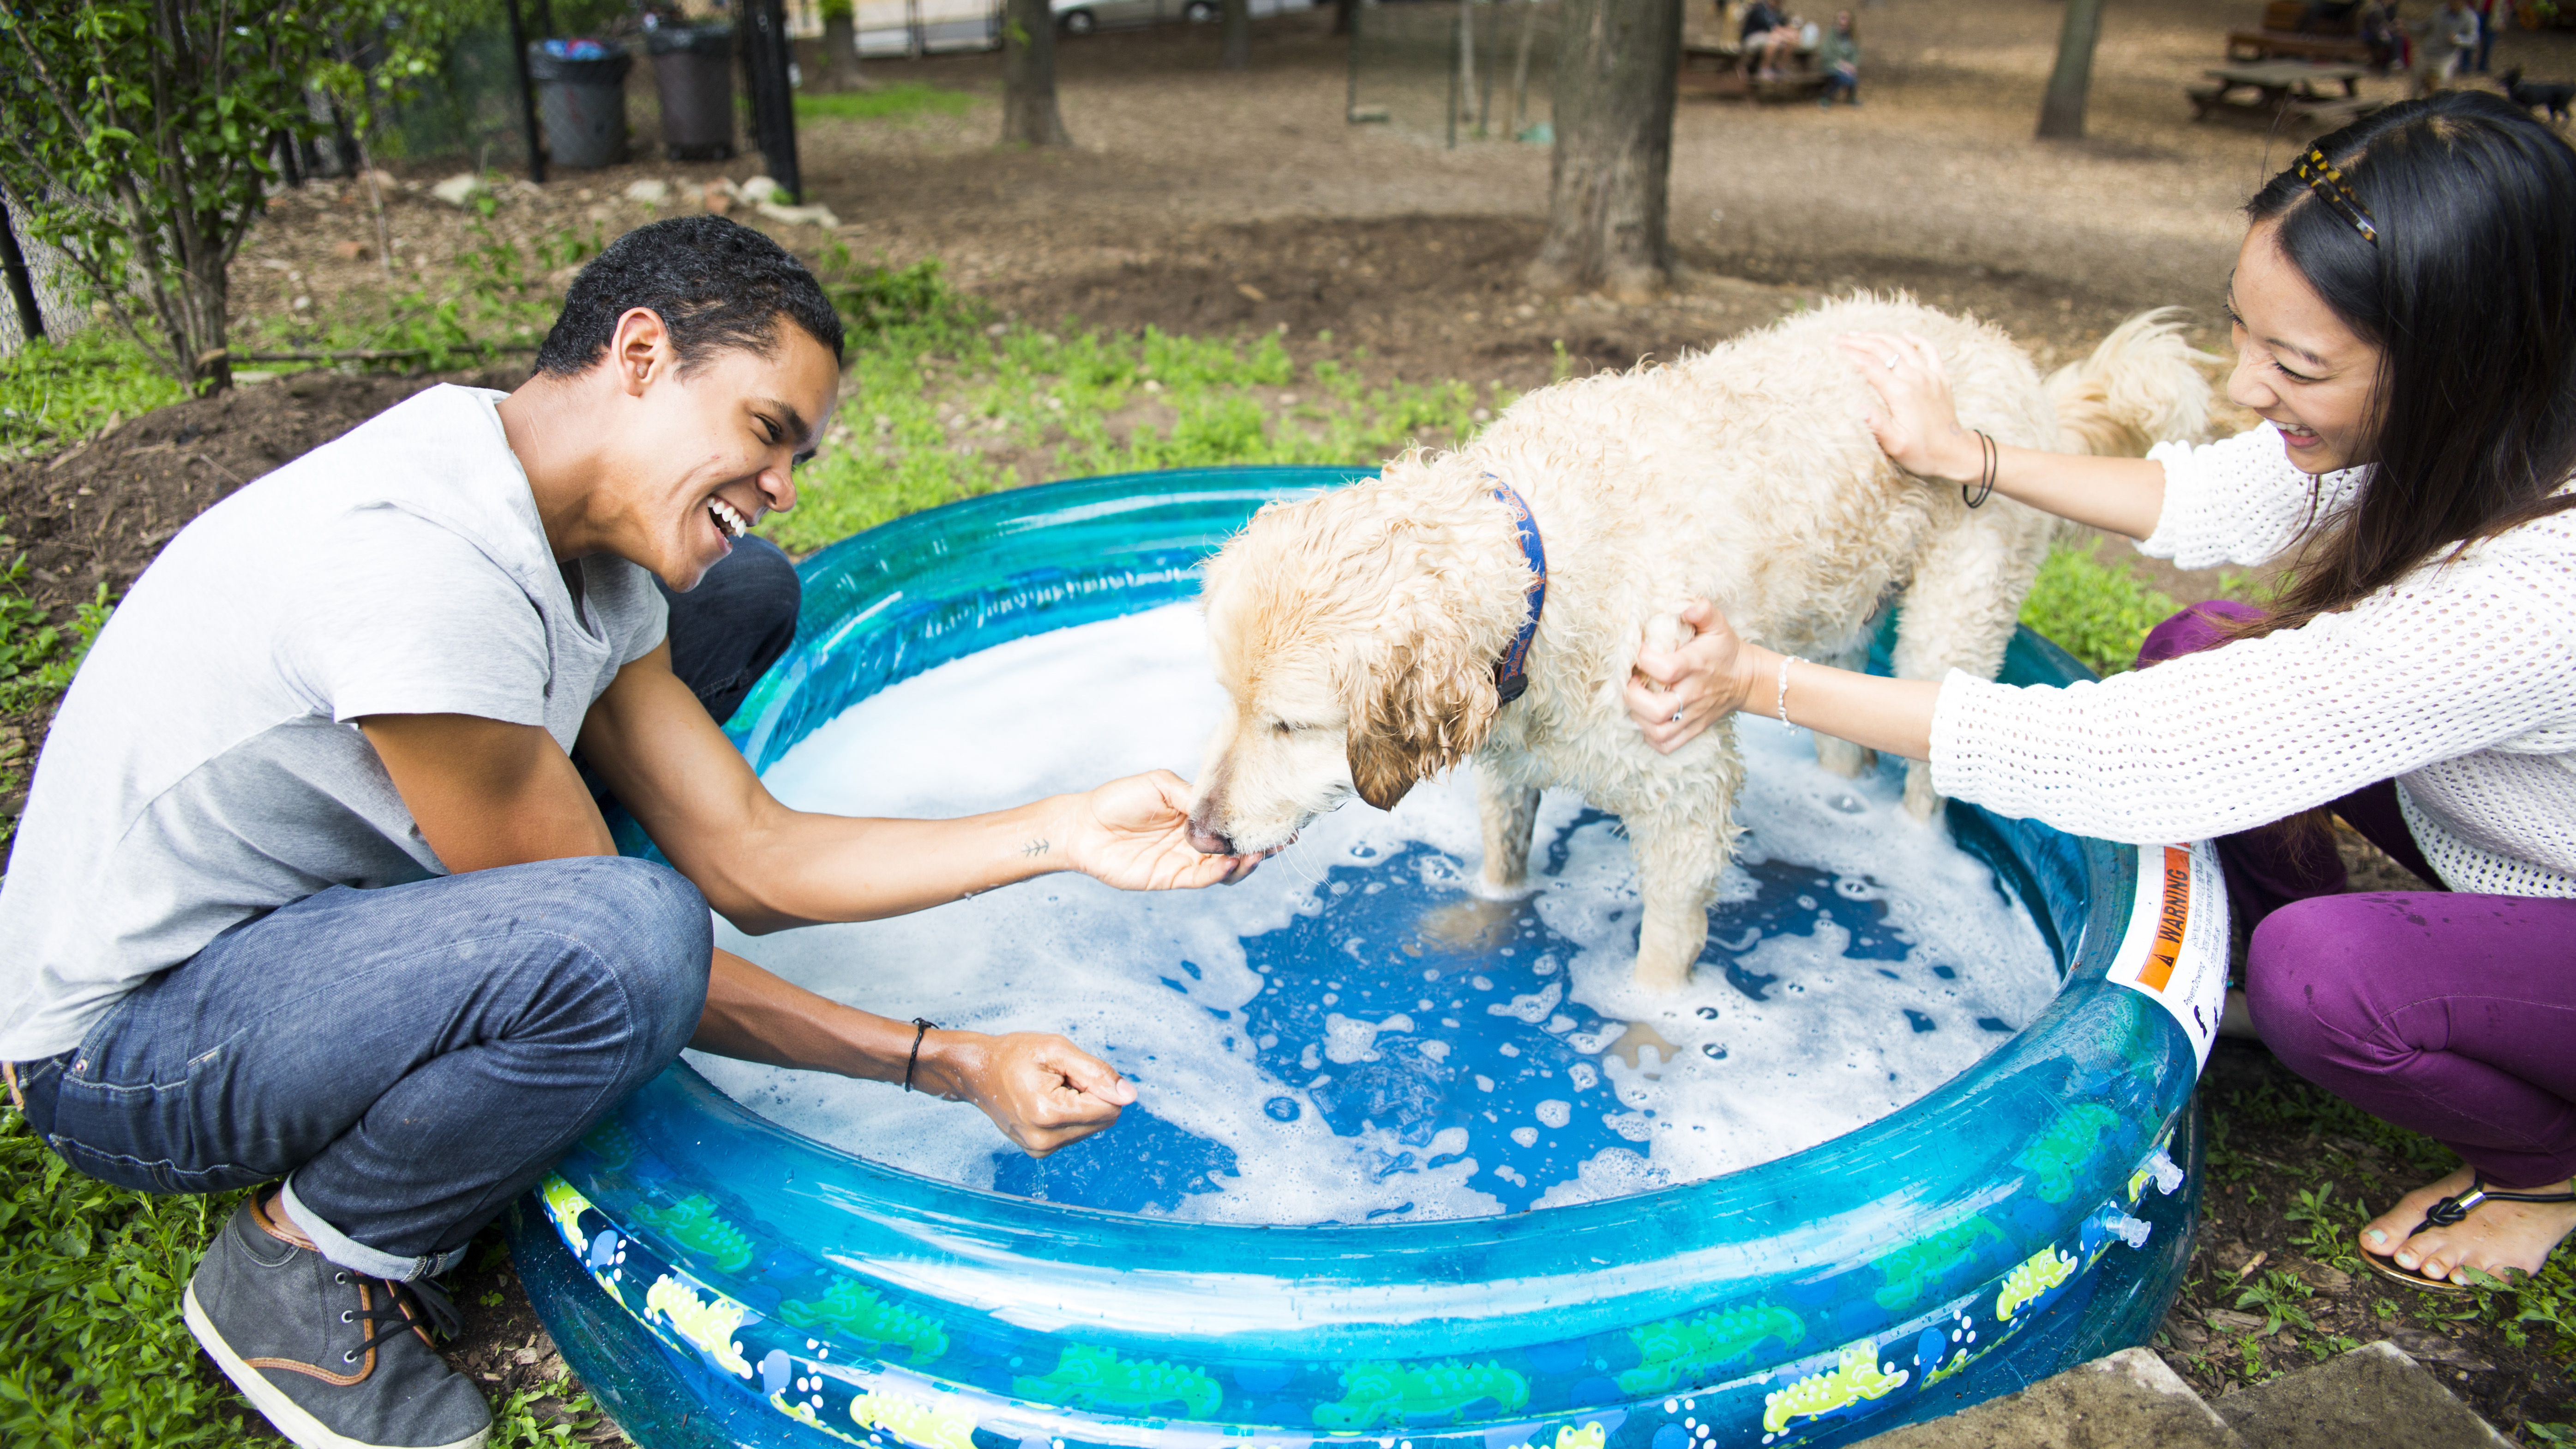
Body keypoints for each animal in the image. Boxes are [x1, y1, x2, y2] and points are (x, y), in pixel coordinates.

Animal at [1185, 299, 2215, 985]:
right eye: (1228, 703)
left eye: (1291, 725)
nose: (1201, 831)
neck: (1544, 568)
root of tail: (2020, 366)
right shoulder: (1513, 764)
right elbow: (1503, 867)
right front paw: (1479, 930)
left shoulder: (1686, 796)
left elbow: (1661, 959)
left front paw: (1645, 1046)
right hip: (1840, 615)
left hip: (1952, 620)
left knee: (1936, 758)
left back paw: (1919, 849)